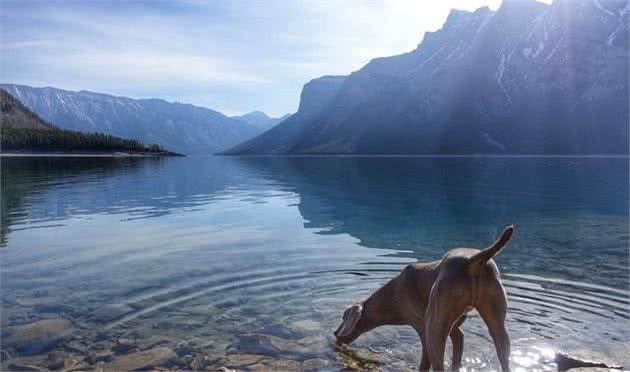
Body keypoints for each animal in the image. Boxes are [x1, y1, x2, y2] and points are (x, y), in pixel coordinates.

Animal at [334, 225, 516, 370]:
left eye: (343, 317)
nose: (335, 333)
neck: (392, 295)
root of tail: (474, 261)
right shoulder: (456, 330)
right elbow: (457, 351)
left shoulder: (422, 328)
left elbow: (425, 363)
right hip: (498, 324)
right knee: (503, 352)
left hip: (434, 327)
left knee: (438, 363)